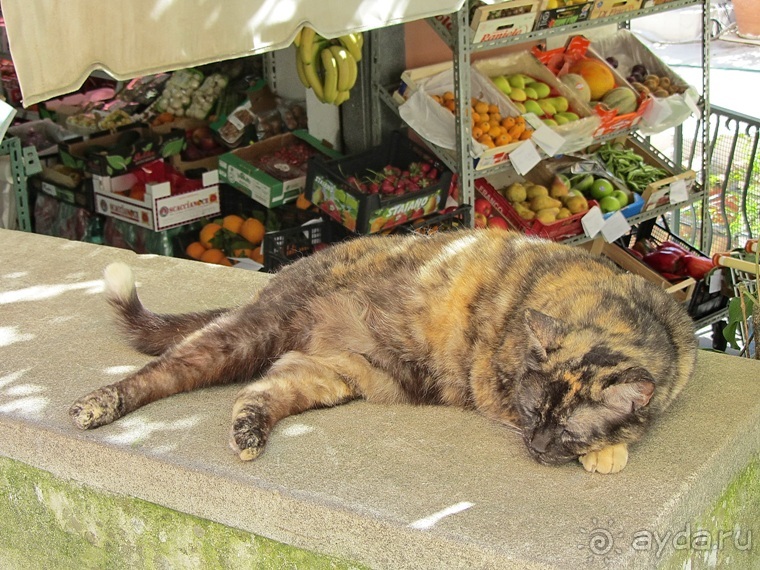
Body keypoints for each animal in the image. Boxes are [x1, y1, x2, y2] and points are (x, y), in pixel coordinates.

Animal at [68, 229, 696, 472]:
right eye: (534, 411)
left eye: (564, 428)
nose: (538, 447)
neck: (612, 312)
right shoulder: (496, 386)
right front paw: (608, 453)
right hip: (248, 335)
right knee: (163, 370)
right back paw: (97, 405)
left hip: (335, 374)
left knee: (261, 389)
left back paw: (248, 435)